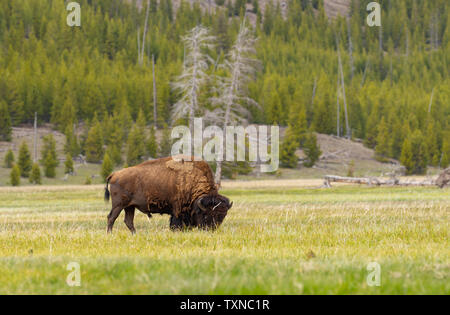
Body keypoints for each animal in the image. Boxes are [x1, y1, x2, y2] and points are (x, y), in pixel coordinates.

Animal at [104, 156, 234, 233]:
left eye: (222, 216)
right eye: (206, 214)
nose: (210, 230)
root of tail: (114, 174)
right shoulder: (177, 210)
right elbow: (176, 223)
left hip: (130, 207)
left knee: (128, 221)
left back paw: (135, 234)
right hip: (119, 205)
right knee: (111, 217)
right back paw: (110, 234)